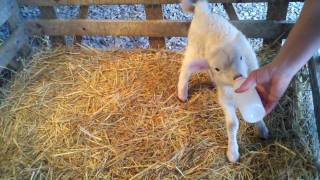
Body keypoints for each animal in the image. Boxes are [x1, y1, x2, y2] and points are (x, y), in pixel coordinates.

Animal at [178, 0, 270, 162]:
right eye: (218, 68)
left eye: (241, 57)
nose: (238, 77)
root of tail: (202, 10)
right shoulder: (225, 99)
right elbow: (232, 124)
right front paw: (233, 153)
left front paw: (262, 129)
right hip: (195, 49)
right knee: (186, 69)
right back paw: (182, 93)